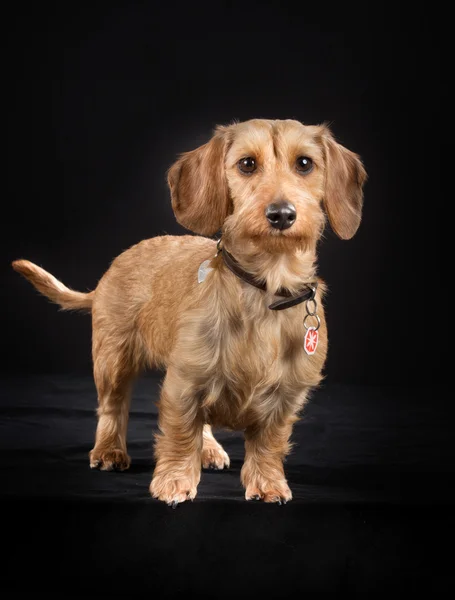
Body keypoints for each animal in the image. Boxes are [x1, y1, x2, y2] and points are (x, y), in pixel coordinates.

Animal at [11, 119, 366, 504]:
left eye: (304, 164)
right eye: (247, 164)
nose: (281, 214)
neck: (266, 287)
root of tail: (113, 266)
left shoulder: (288, 394)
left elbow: (269, 442)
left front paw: (268, 482)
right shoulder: (183, 383)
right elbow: (180, 433)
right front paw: (175, 481)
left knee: (204, 422)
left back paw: (208, 449)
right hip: (112, 361)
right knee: (112, 407)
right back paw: (109, 451)